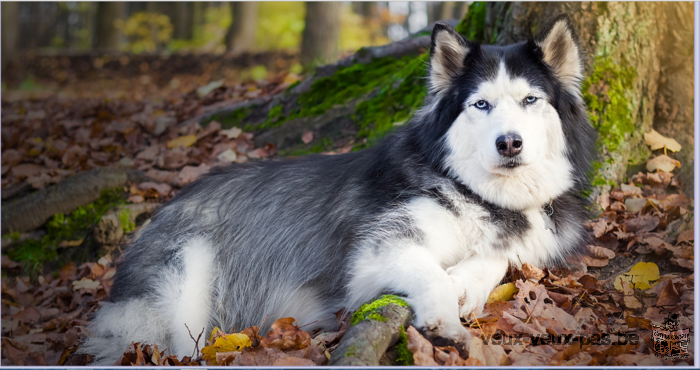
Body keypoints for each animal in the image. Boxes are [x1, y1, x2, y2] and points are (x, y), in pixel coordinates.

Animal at [82, 13, 596, 362]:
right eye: (481, 104)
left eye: (530, 100)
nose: (509, 143)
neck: (480, 194)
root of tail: (164, 207)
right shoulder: (375, 253)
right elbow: (429, 271)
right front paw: (446, 318)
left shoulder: (533, 237)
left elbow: (500, 257)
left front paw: (466, 282)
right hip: (183, 282)